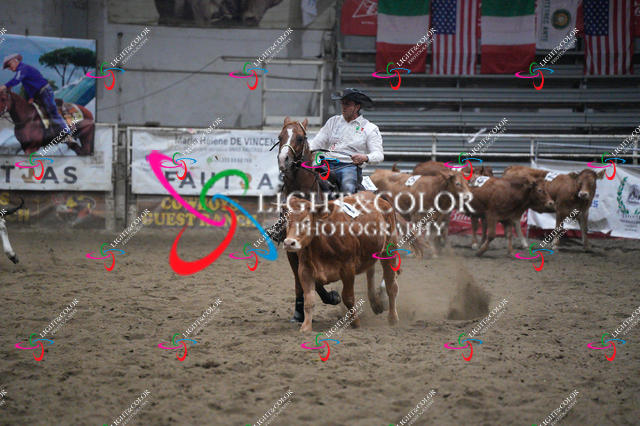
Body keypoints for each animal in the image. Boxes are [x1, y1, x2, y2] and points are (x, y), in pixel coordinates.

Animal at [282, 192, 400, 332]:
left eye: (306, 221)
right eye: (287, 220)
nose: (289, 243)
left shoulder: (347, 268)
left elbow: (348, 297)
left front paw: (355, 323)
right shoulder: (304, 269)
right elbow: (309, 300)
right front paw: (305, 328)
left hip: (390, 249)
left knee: (391, 285)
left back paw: (393, 318)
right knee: (370, 272)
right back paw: (375, 303)